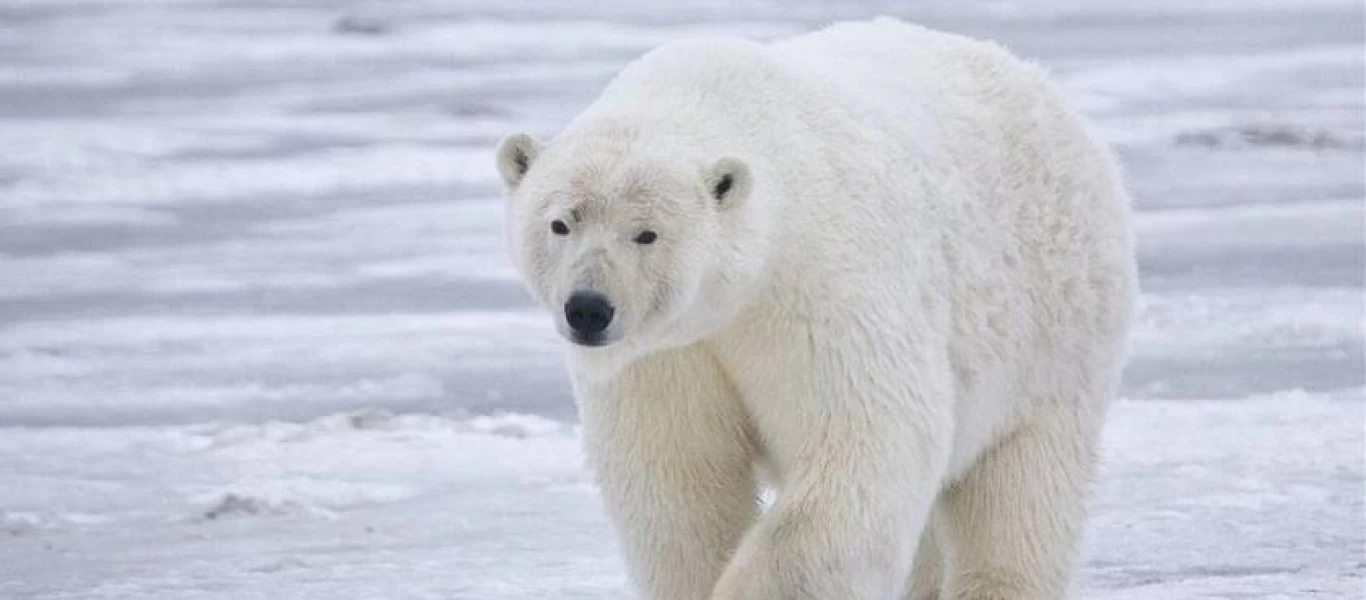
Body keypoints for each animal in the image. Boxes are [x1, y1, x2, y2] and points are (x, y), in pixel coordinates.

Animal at [497, 16, 1136, 598]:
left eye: (646, 233)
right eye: (560, 223)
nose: (588, 309)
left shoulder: (821, 290)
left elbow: (863, 447)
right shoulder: (666, 354)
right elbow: (680, 481)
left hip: (1053, 328)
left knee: (1021, 492)